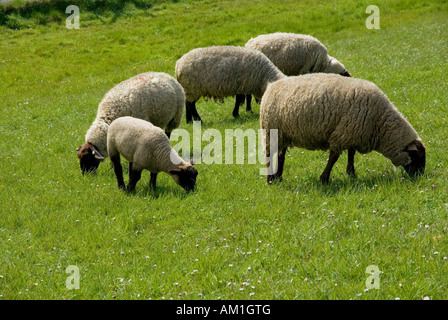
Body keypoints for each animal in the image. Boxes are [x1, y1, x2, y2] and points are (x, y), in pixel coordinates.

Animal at [262, 72, 428, 182]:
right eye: (418, 156)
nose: (420, 177)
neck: (380, 122)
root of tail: (271, 86)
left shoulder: (353, 132)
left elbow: (351, 153)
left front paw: (351, 172)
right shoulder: (342, 134)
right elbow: (334, 157)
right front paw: (324, 178)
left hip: (284, 133)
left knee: (281, 155)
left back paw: (279, 176)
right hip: (271, 131)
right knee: (269, 154)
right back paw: (270, 179)